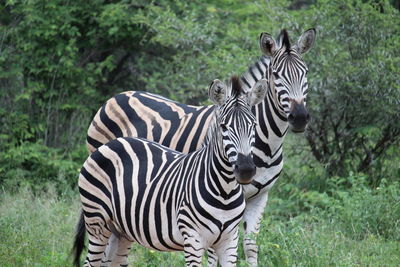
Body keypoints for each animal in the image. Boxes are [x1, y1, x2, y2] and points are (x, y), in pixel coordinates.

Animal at [73, 76, 268, 266]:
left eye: (254, 125)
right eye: (224, 127)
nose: (246, 170)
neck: (225, 191)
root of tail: (112, 143)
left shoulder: (230, 242)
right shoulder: (193, 239)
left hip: (120, 230)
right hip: (97, 223)